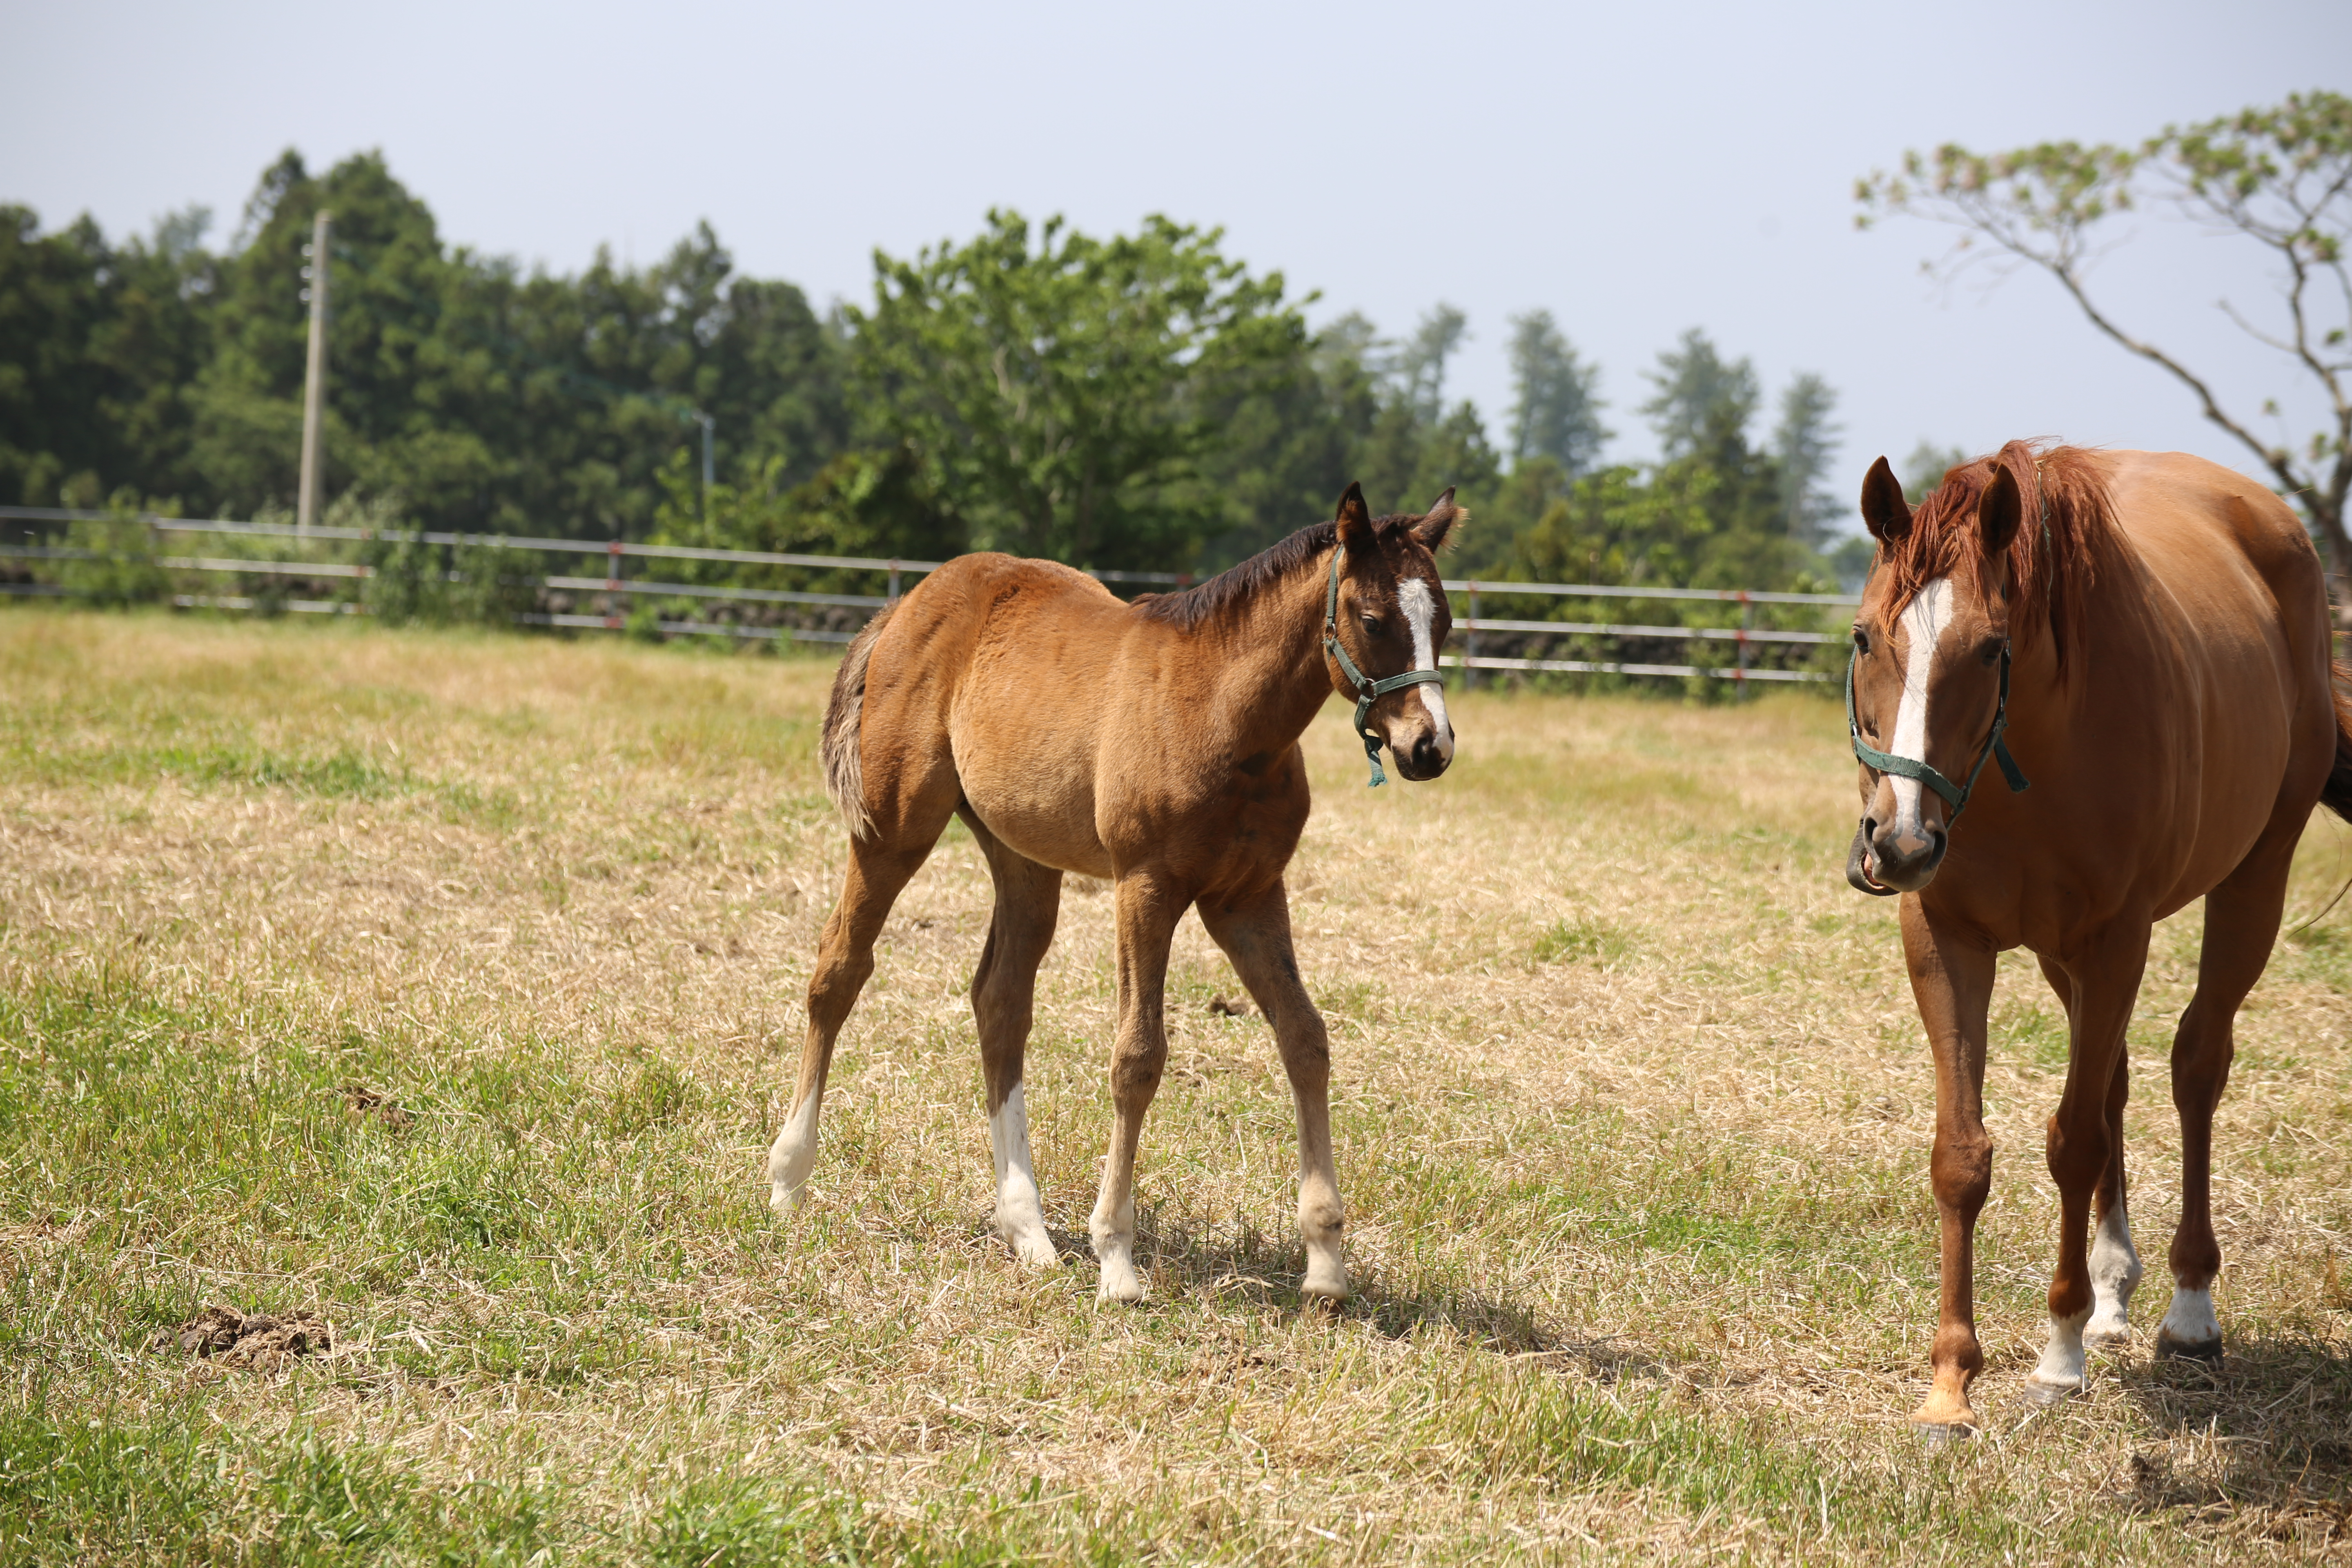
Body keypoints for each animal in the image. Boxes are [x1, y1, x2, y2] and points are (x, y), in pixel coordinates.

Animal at [762, 484, 1458, 1307]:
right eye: (1375, 619)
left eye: (1444, 622)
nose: (1431, 748)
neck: (1223, 717)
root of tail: (909, 602)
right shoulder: (1146, 886)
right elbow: (1138, 1057)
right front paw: (1117, 1260)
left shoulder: (1248, 895)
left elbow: (1305, 1038)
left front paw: (1324, 1261)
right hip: (893, 831)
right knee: (839, 971)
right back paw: (788, 1180)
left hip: (1024, 857)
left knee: (1000, 1000)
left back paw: (1028, 1231)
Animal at [1844, 442, 2352, 1439]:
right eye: (1864, 639)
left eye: (1991, 647)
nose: (1901, 841)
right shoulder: (1947, 941)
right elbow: (1963, 1154)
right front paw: (1951, 1383)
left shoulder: (2116, 941)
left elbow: (2073, 1143)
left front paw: (2059, 1354)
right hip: (2059, 956)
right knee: (2114, 1078)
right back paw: (2117, 1291)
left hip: (2253, 882)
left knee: (2196, 1065)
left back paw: (2188, 1312)